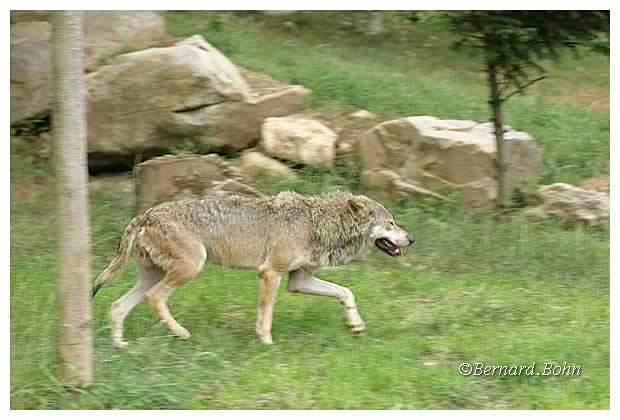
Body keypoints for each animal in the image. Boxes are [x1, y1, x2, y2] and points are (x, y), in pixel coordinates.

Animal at [92, 191, 414, 348]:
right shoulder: (270, 272)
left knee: (117, 306)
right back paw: (180, 333)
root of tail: (144, 215)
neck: (317, 223)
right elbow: (266, 314)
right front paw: (266, 342)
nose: (411, 239)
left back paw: (121, 346)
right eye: (391, 223)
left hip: (152, 276)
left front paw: (355, 324)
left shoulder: (298, 281)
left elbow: (346, 292)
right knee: (155, 298)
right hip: (189, 268)